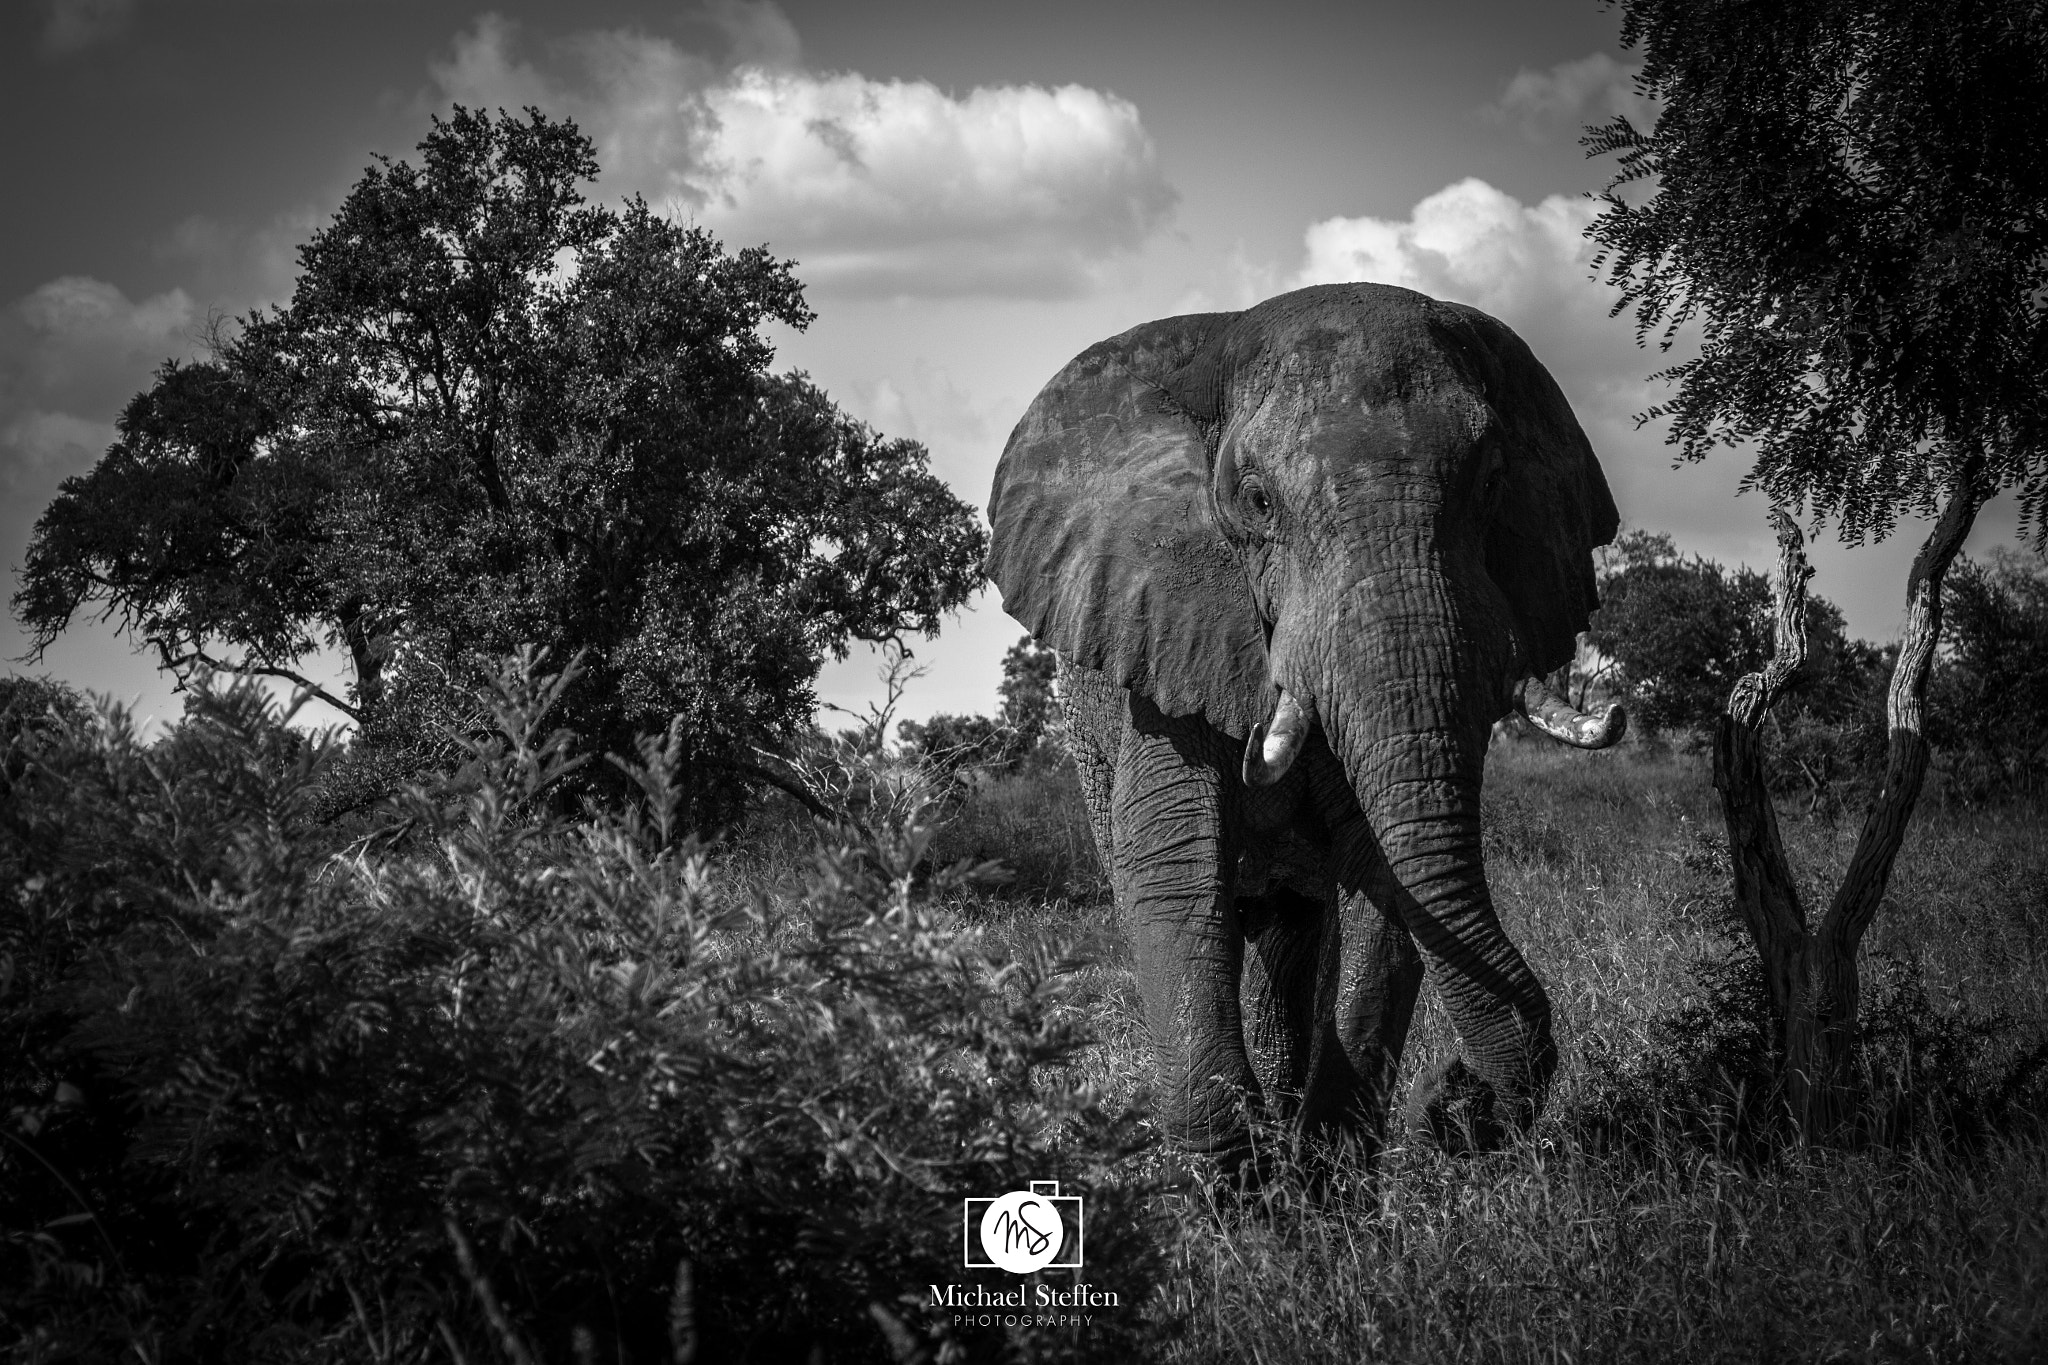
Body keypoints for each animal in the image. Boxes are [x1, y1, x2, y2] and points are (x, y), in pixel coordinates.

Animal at [986, 283, 1624, 1163]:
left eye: (1493, 483)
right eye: (1257, 501)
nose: (1453, 1099)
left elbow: (1383, 880)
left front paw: (1321, 1173)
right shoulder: (1170, 630)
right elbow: (1171, 862)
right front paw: (1234, 1177)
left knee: (1290, 948)